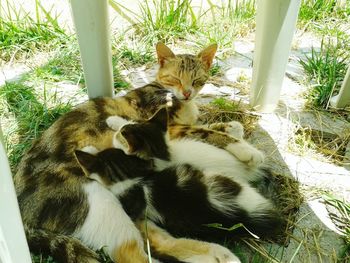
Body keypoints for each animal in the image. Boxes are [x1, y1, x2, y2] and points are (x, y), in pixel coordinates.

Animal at [13, 43, 252, 263]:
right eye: (175, 78)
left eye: (196, 80)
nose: (186, 93)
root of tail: (22, 215)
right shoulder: (167, 126)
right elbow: (203, 131)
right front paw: (246, 151)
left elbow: (212, 128)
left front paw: (233, 128)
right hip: (96, 199)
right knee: (133, 252)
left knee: (155, 239)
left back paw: (220, 254)